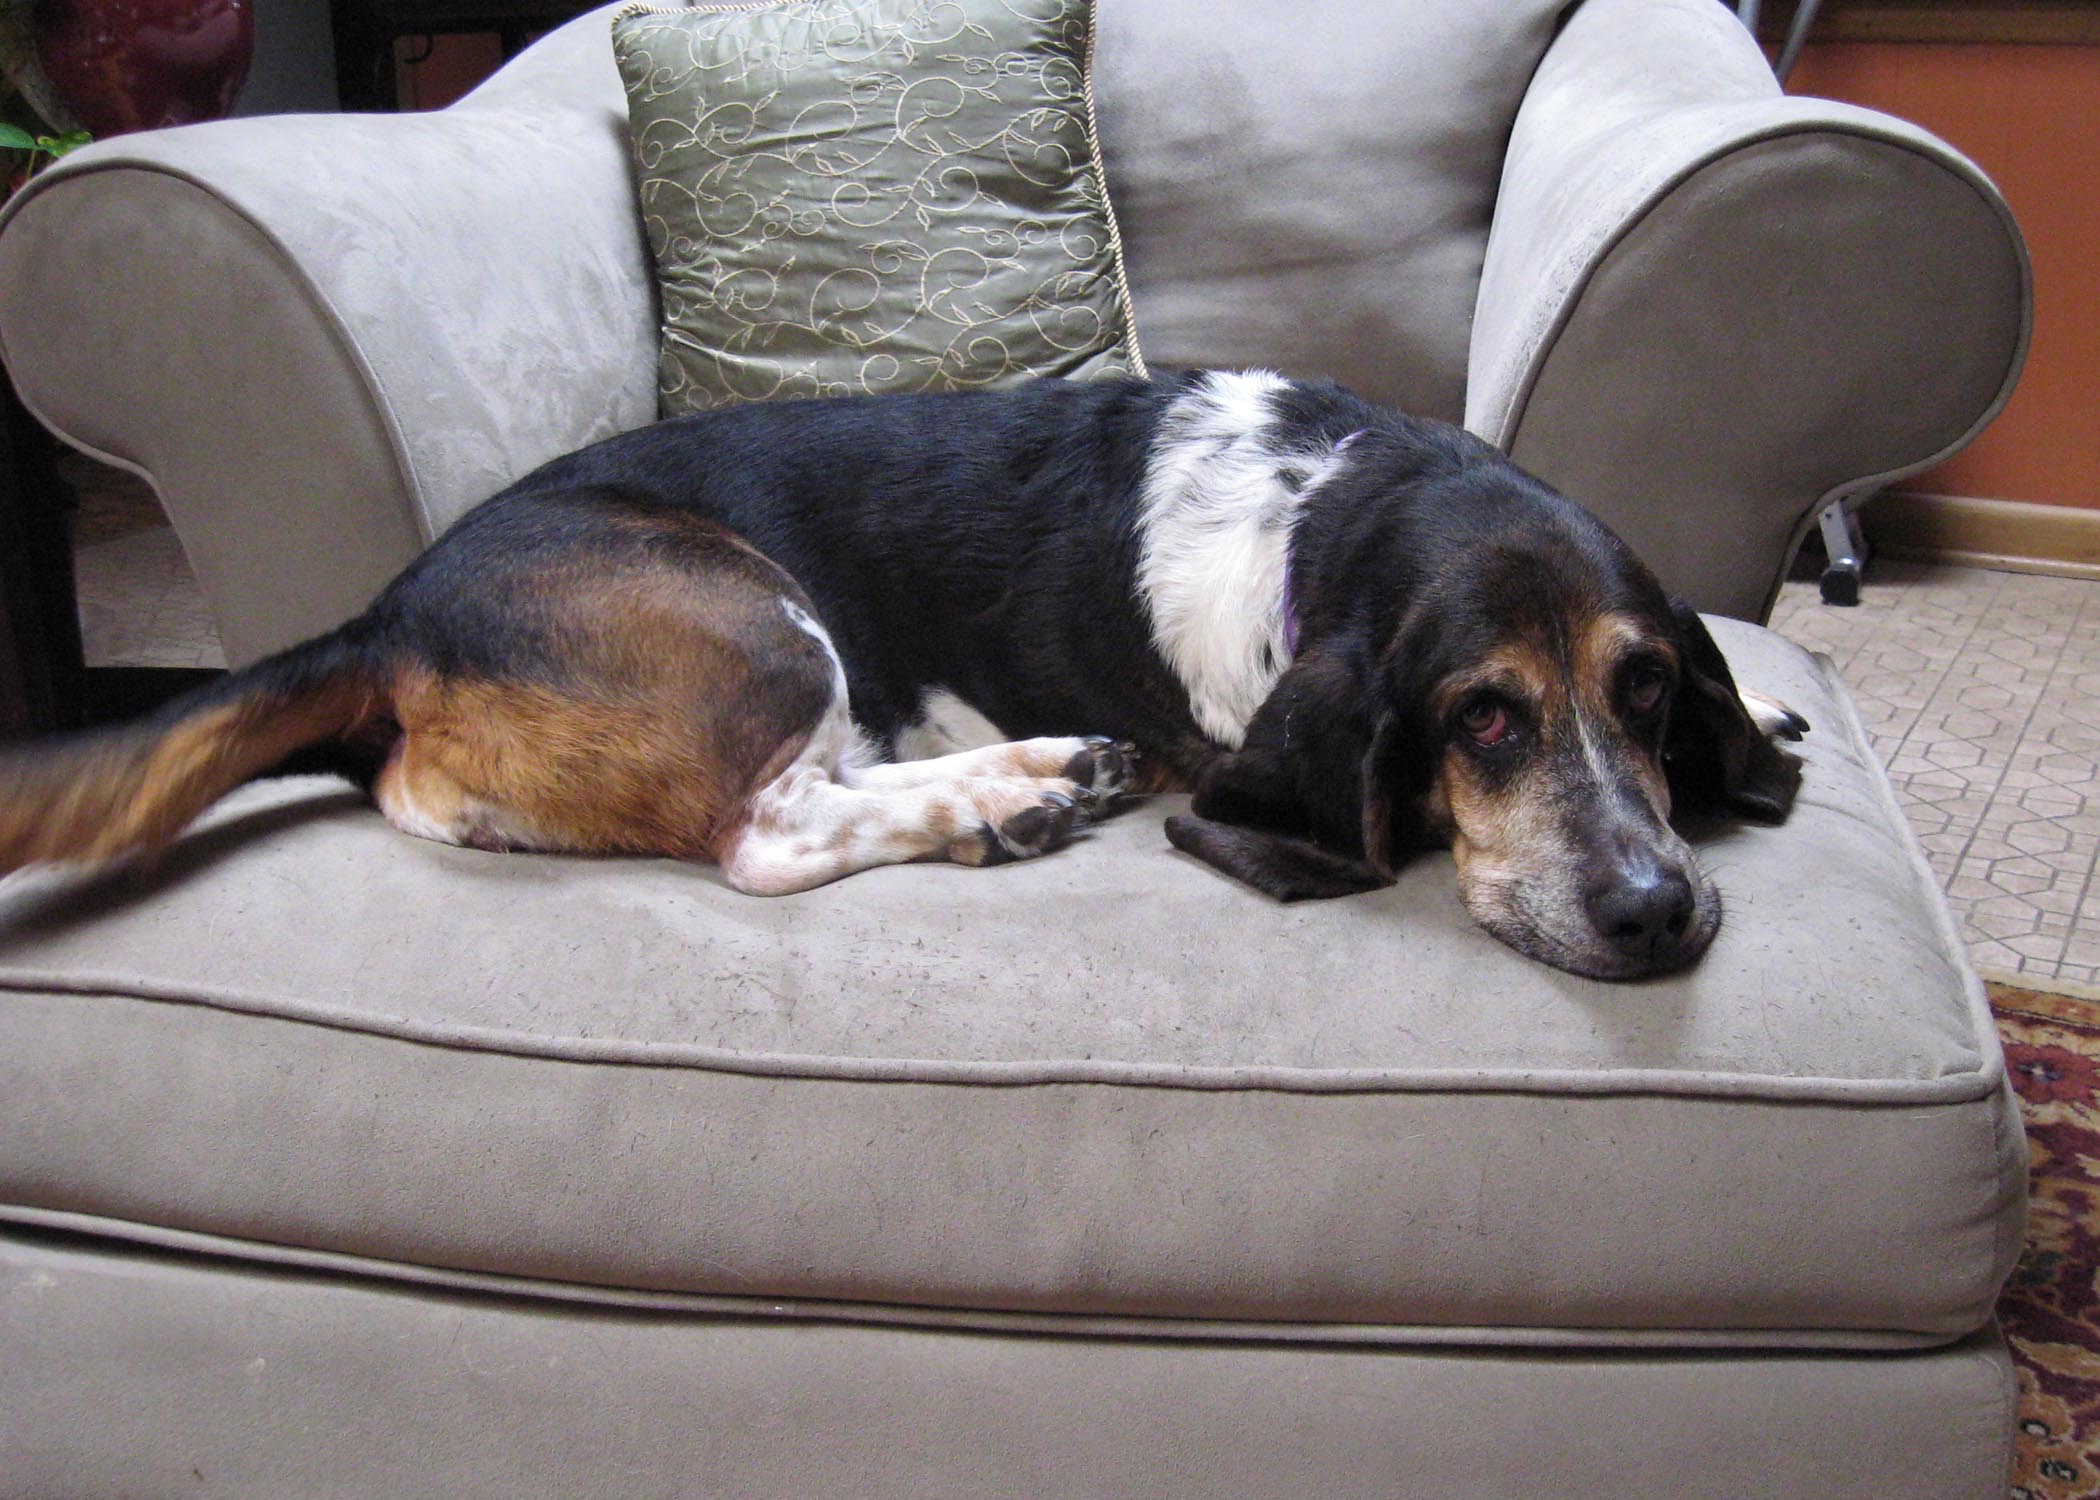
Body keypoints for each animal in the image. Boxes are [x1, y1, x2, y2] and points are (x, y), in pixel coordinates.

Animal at [0, 370, 1805, 979]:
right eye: (1480, 718)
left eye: (1647, 692)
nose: (1653, 911)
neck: (1328, 502)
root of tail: (388, 614)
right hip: (763, 623)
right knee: (769, 832)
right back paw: (1007, 798)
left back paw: (1037, 778)